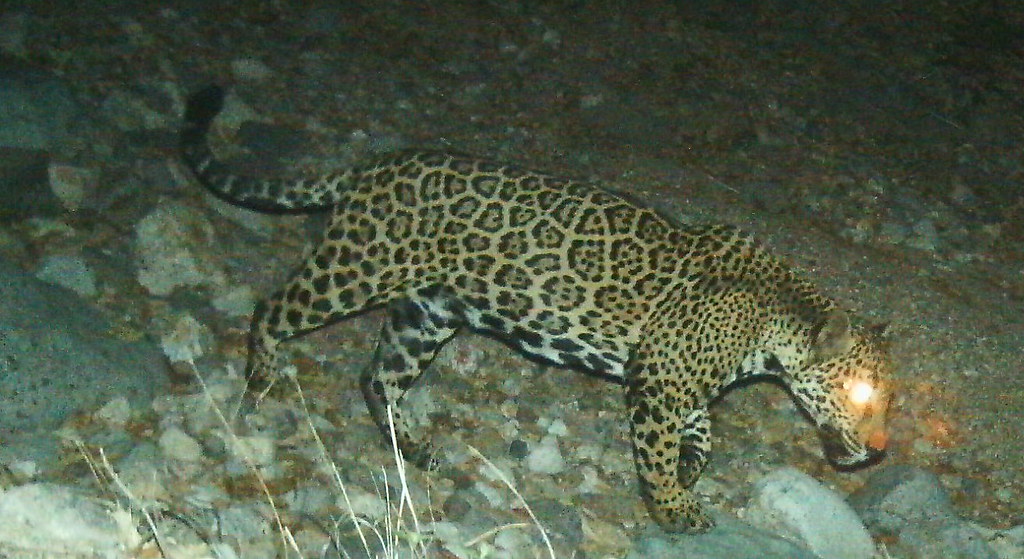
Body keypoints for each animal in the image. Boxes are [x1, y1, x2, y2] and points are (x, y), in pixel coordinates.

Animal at [179, 85, 892, 533]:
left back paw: (414, 449)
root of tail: (372, 166)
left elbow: (703, 433)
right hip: (357, 269)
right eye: (859, 396)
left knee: (377, 376)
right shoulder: (660, 380)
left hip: (428, 314)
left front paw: (690, 470)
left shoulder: (678, 382)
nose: (881, 448)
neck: (774, 323)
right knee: (274, 307)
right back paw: (262, 376)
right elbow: (661, 451)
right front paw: (674, 508)